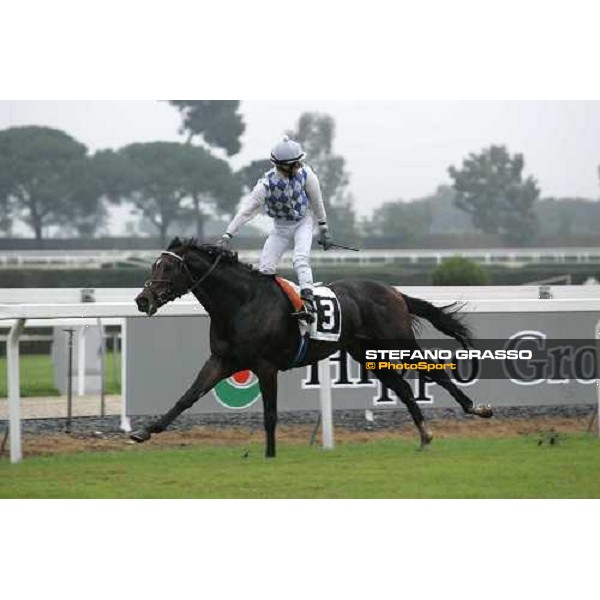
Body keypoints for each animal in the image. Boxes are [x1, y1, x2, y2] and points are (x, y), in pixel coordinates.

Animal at [132, 237, 492, 458]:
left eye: (168, 267)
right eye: (153, 266)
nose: (142, 300)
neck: (241, 303)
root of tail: (394, 291)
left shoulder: (265, 365)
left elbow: (270, 413)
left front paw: (270, 454)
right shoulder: (222, 360)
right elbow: (187, 397)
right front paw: (146, 431)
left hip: (398, 341)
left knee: (434, 370)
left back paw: (476, 409)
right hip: (367, 353)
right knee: (403, 387)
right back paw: (424, 435)